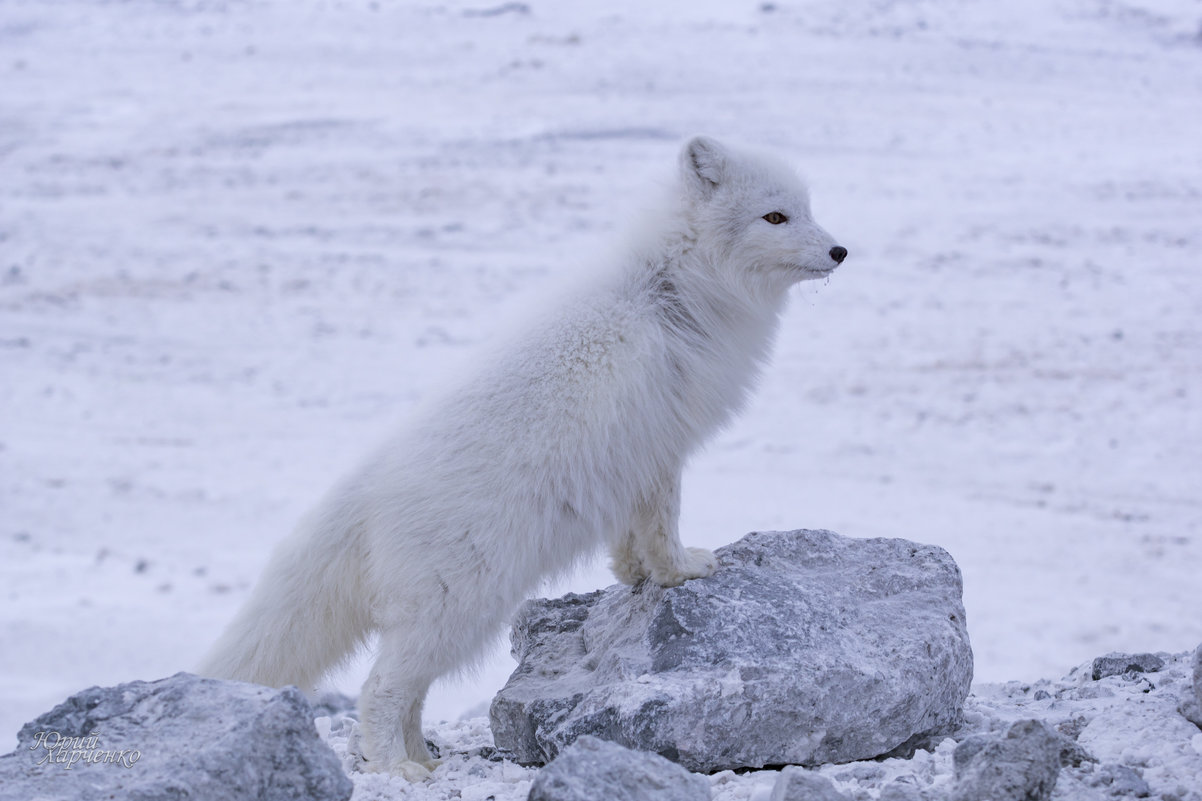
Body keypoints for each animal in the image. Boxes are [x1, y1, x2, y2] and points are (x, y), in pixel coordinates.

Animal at [199, 135, 846, 774]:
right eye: (775, 217)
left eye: (808, 209)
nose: (840, 250)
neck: (673, 290)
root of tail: (365, 484)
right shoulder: (661, 442)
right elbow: (662, 523)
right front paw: (679, 570)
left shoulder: (632, 454)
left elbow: (628, 532)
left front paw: (632, 573)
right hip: (458, 606)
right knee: (380, 688)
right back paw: (394, 768)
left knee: (410, 694)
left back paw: (424, 762)